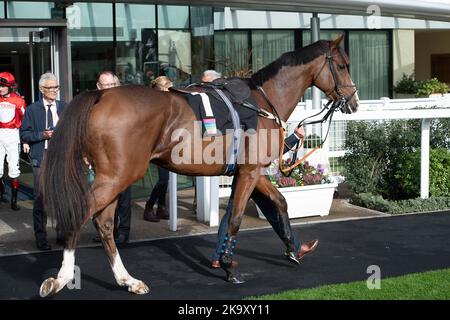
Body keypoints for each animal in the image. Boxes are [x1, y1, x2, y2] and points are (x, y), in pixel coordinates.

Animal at [37, 33, 358, 296]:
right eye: (343, 66)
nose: (353, 100)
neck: (263, 102)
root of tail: (101, 95)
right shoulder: (251, 172)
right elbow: (237, 218)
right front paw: (228, 267)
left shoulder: (251, 172)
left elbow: (279, 202)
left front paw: (294, 249)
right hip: (118, 176)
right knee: (81, 214)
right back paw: (60, 279)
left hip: (114, 178)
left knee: (103, 223)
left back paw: (128, 280)